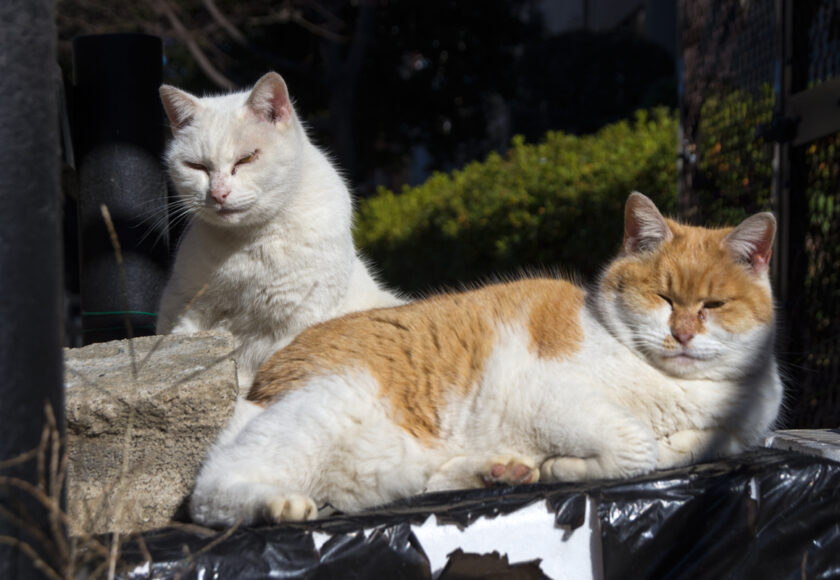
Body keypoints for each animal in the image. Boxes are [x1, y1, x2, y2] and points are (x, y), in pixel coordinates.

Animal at [160, 73, 404, 390]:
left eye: (247, 158)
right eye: (196, 166)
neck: (248, 244)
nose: (218, 194)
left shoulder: (298, 323)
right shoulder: (186, 311)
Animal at [189, 194, 780, 524]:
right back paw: (275, 507)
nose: (681, 334)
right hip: (324, 411)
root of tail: (259, 381)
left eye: (713, 306)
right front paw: (566, 466)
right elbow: (637, 448)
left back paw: (498, 471)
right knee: (211, 490)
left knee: (410, 482)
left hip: (389, 462)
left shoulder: (742, 426)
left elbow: (692, 446)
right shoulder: (545, 394)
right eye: (663, 297)